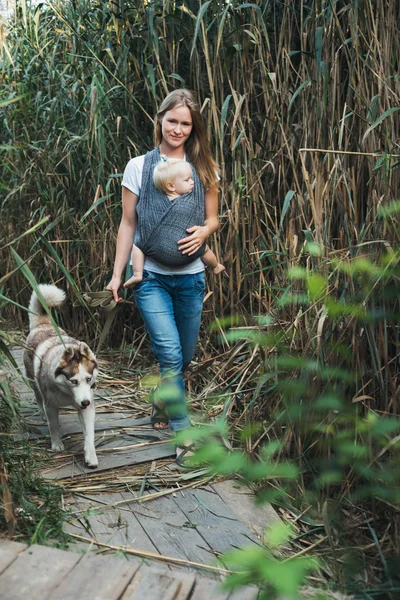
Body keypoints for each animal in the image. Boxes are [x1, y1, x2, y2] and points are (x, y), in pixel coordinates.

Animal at [23, 286, 98, 468]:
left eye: (88, 379)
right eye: (73, 381)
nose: (85, 402)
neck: (67, 394)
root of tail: (44, 324)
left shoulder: (87, 407)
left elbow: (89, 434)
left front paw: (90, 456)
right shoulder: (51, 405)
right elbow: (54, 426)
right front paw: (57, 444)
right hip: (33, 380)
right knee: (38, 395)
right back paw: (41, 412)